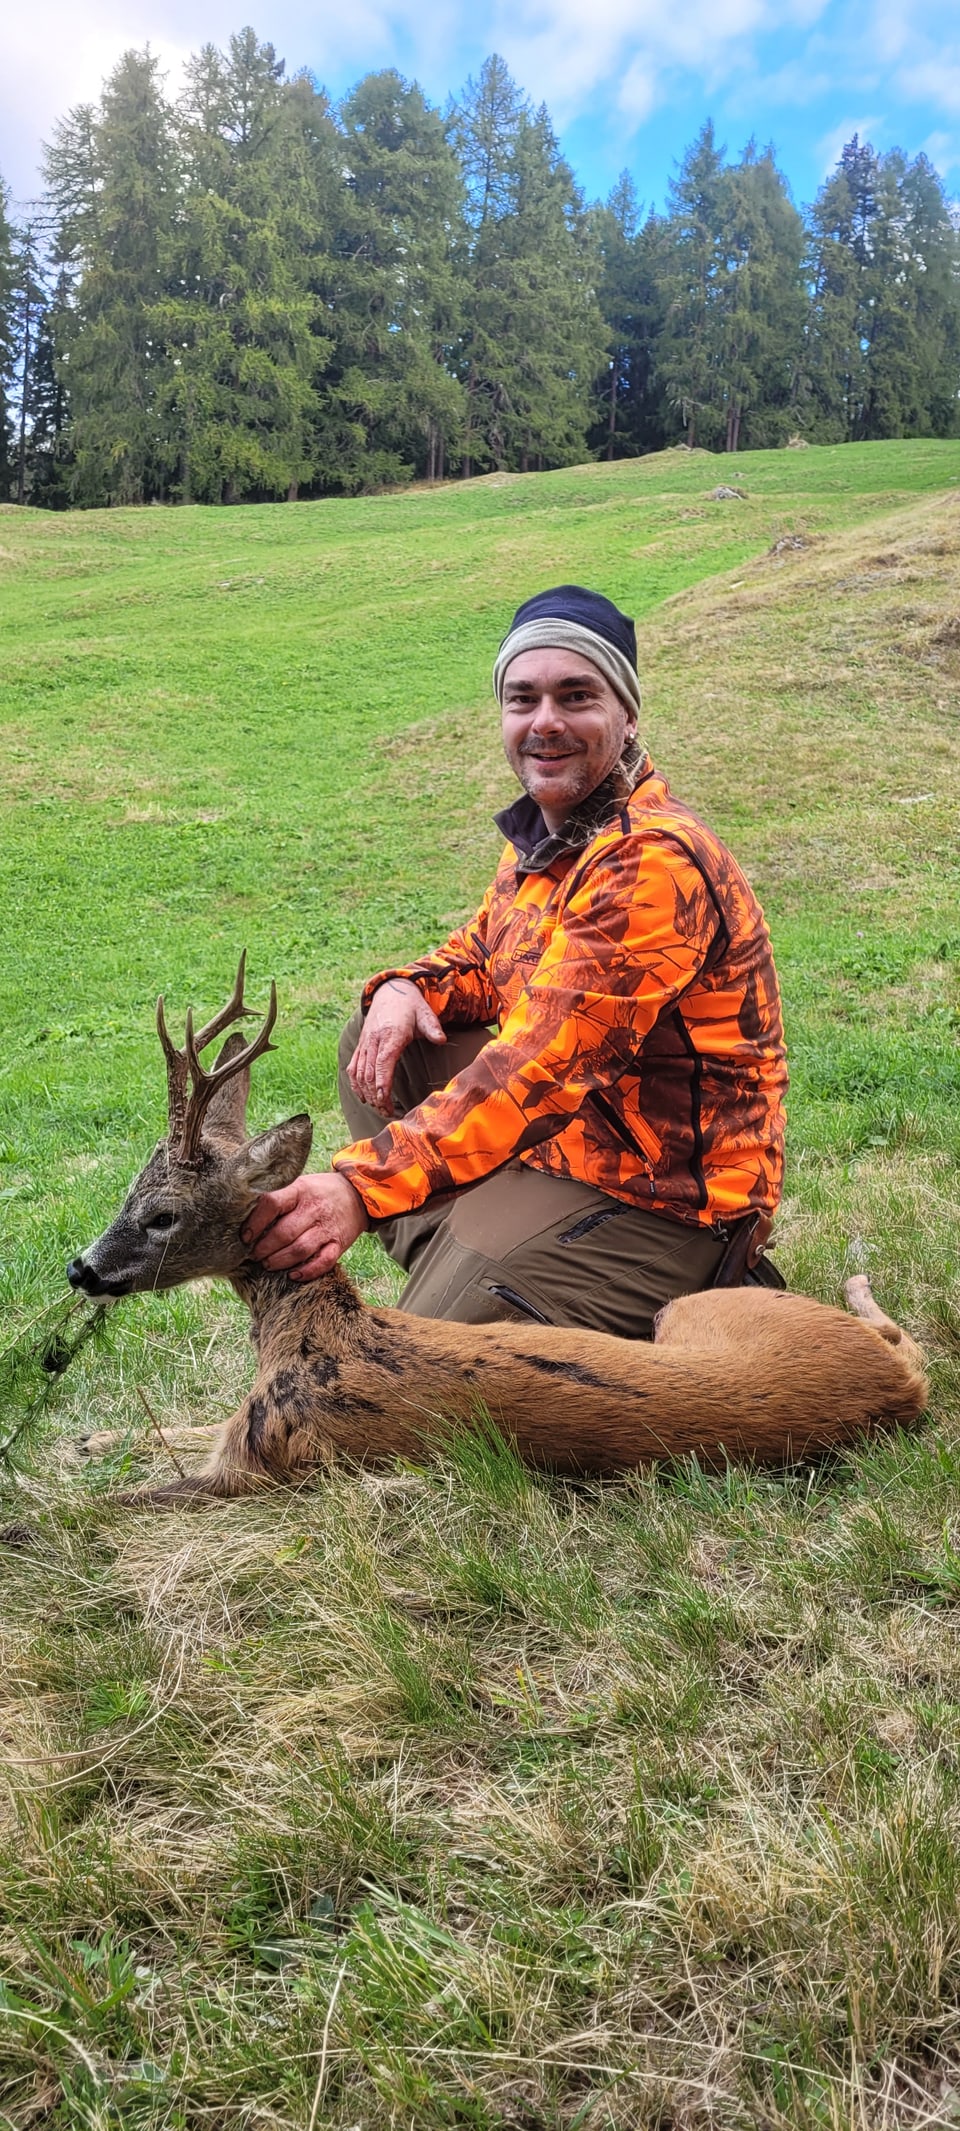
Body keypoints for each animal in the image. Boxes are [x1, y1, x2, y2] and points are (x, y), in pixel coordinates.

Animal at [65, 958, 921, 1508]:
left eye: (161, 1214)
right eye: (128, 1189)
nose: (81, 1268)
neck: (311, 1336)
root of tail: (893, 1390)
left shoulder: (260, 1460)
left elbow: (88, 1512)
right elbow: (169, 1428)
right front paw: (89, 1441)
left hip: (693, 1307)